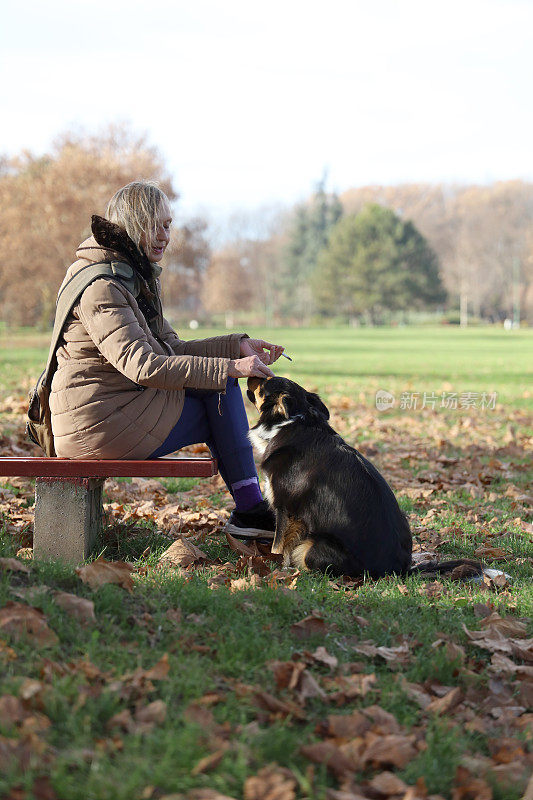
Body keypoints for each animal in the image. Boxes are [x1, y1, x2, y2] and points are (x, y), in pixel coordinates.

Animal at [247, 376, 484, 580]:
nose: (250, 375)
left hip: (313, 547)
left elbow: (279, 545)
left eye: (265, 381)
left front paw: (276, 566)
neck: (293, 421)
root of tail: (399, 571)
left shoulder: (286, 508)